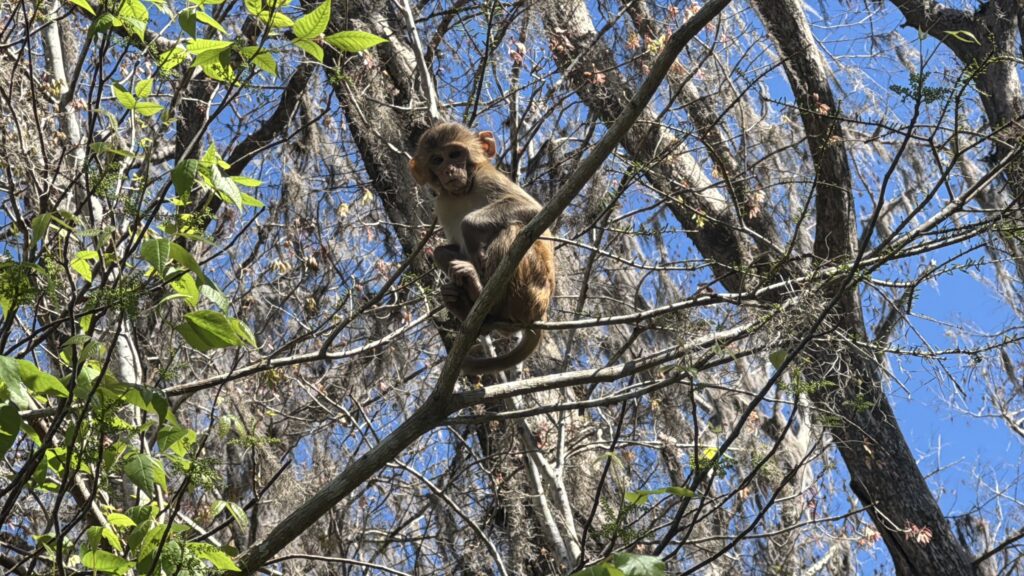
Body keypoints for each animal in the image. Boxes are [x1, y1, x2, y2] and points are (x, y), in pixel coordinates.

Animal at [407, 121, 557, 373]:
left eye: (455, 154)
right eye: (437, 160)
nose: (449, 170)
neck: (463, 191)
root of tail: (542, 312)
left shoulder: (487, 178)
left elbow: (532, 210)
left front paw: (470, 228)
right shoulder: (442, 203)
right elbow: (452, 248)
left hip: (533, 290)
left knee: (515, 230)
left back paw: (482, 295)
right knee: (442, 252)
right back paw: (468, 305)